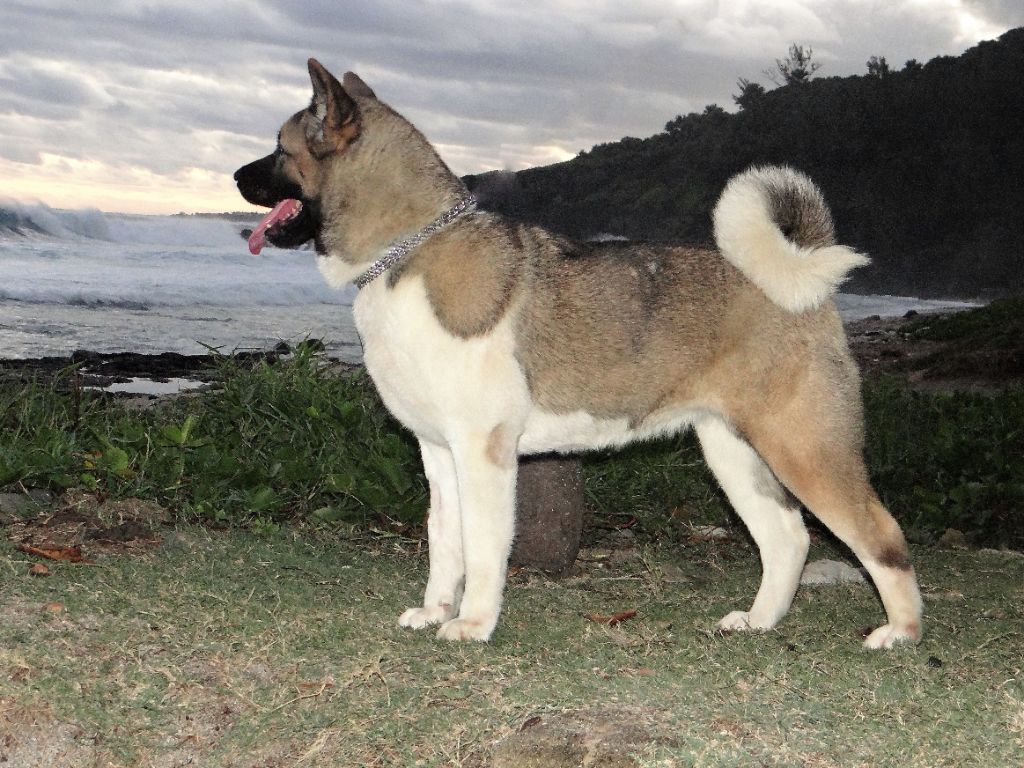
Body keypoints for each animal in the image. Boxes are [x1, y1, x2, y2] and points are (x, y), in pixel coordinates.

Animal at [235, 59, 923, 648]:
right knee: (787, 539)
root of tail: (802, 282)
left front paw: (472, 624)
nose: (237, 176)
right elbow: (444, 542)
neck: (408, 249)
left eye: (279, 148)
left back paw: (900, 633)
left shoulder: (483, 452)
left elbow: (482, 548)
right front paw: (435, 610)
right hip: (733, 451)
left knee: (880, 534)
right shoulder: (438, 453)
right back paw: (759, 622)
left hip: (805, 450)